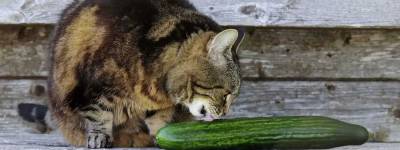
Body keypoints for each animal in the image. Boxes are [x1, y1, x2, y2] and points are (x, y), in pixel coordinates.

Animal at [18, 0, 244, 148]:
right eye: (226, 94)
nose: (225, 114)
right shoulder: (93, 88)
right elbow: (98, 113)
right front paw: (99, 136)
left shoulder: (158, 106)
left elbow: (160, 121)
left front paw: (161, 135)